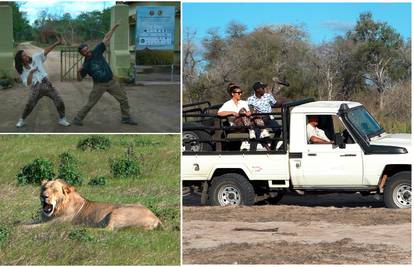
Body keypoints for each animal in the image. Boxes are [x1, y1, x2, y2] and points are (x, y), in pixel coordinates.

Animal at [26, 180, 162, 230]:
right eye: (44, 188)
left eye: (54, 190)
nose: (44, 196)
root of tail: (156, 217)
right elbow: (28, 222)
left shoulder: (54, 224)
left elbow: (30, 227)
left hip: (117, 211)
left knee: (108, 230)